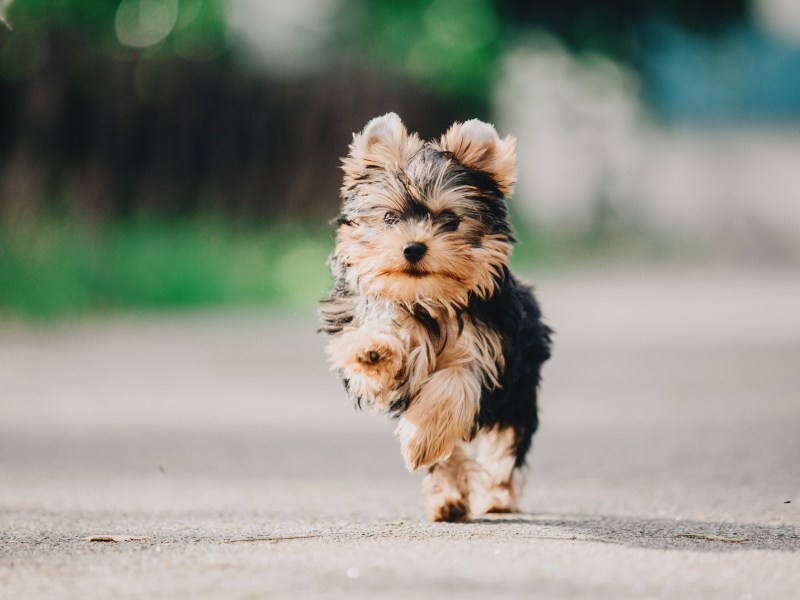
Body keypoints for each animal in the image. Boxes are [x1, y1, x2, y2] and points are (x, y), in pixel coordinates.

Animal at [318, 112, 552, 520]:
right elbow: (379, 333)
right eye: (390, 218)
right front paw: (372, 350)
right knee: (451, 451)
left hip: (519, 392)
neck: (430, 297)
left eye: (450, 219)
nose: (413, 248)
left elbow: (453, 385)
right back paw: (448, 497)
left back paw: (498, 496)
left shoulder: (487, 351)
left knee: (506, 445)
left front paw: (420, 442)